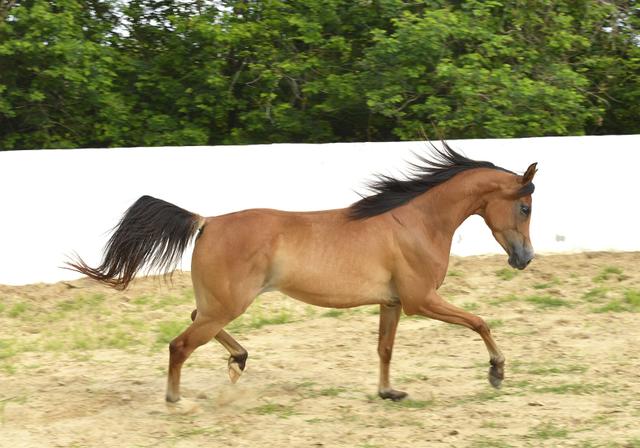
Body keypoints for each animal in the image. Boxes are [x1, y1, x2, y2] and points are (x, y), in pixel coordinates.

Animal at [66, 144, 536, 402]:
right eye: (525, 207)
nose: (525, 258)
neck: (416, 222)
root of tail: (207, 221)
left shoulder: (393, 302)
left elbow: (385, 349)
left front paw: (388, 392)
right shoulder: (422, 301)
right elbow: (479, 321)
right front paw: (497, 372)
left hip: (218, 303)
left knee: (194, 322)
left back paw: (238, 359)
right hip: (228, 303)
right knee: (180, 344)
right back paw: (175, 398)